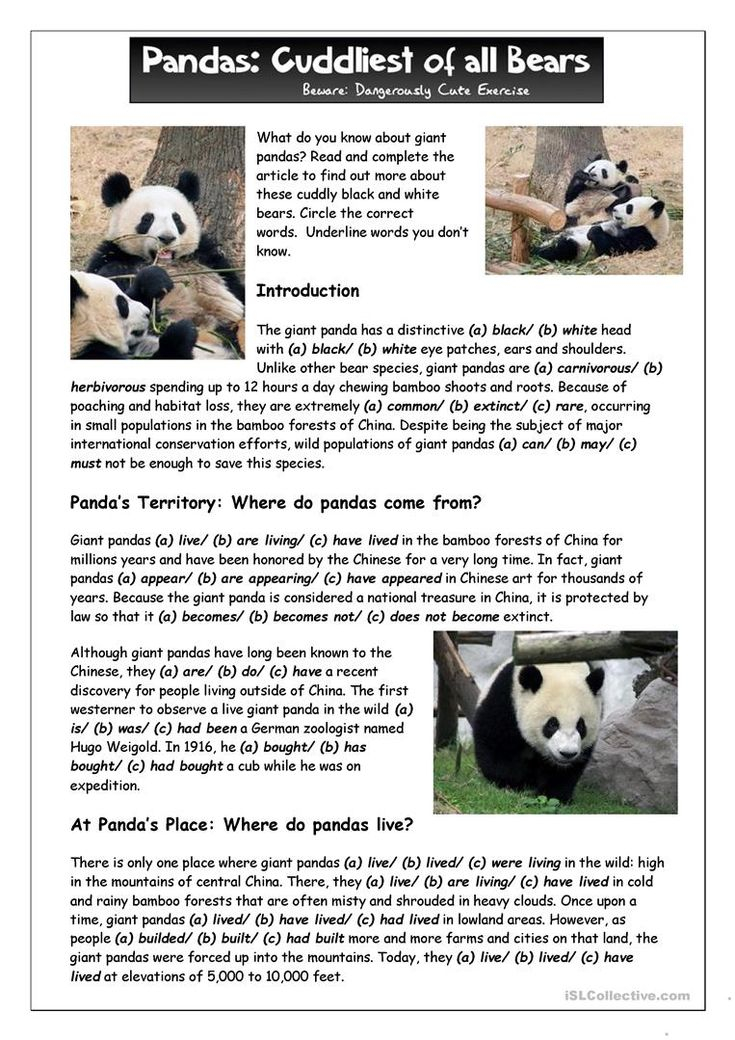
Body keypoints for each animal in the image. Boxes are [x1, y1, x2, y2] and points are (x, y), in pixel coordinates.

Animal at [86, 170, 244, 358]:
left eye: (176, 218)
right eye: (147, 219)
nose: (167, 238)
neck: (166, 264)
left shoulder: (209, 259)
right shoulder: (113, 256)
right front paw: (153, 281)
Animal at [472, 659, 604, 803]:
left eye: (581, 726)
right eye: (552, 724)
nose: (567, 753)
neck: (559, 667)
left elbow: (565, 772)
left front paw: (555, 795)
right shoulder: (505, 701)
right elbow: (497, 745)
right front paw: (512, 784)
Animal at [536, 196, 669, 263]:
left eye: (629, 208)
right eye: (628, 202)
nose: (614, 209)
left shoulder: (643, 238)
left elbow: (612, 249)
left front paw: (593, 232)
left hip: (577, 249)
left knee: (563, 248)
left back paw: (538, 250)